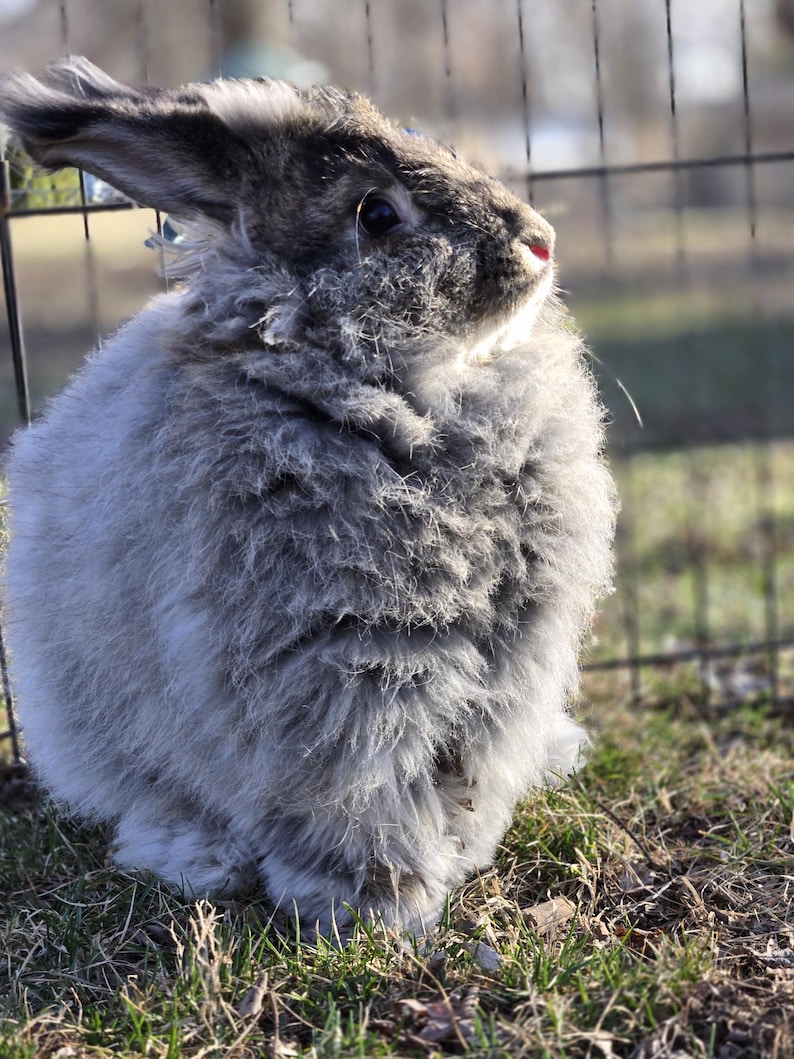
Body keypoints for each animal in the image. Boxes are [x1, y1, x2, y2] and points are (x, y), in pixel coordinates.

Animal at [0, 57, 616, 937]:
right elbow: (362, 788)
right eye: (377, 212)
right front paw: (379, 900)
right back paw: (199, 855)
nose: (540, 240)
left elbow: (461, 772)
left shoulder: (505, 668)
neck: (410, 395)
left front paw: (454, 856)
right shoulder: (340, 667)